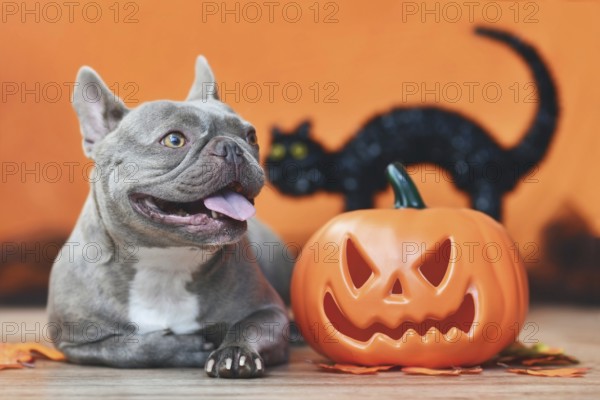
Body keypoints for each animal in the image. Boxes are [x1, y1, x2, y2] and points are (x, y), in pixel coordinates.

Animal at [45, 56, 294, 378]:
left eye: (251, 137)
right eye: (174, 140)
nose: (232, 147)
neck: (165, 262)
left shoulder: (270, 312)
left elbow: (247, 327)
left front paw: (235, 353)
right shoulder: (76, 344)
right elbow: (129, 348)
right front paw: (183, 347)